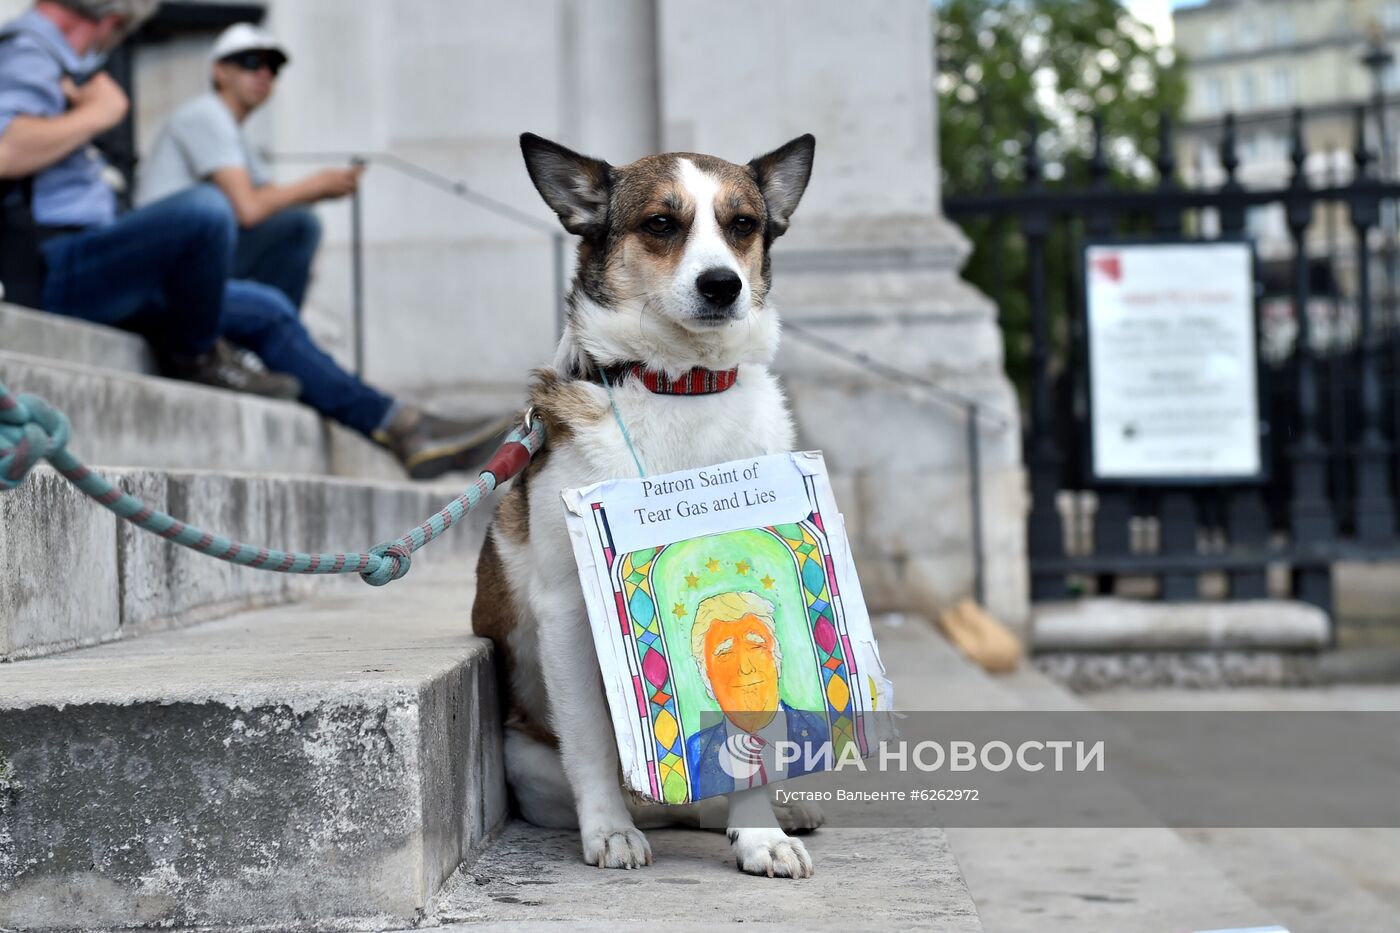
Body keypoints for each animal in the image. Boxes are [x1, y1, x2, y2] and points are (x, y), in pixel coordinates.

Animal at [470, 128, 817, 874]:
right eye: (661, 223)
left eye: (742, 224)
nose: (722, 283)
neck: (680, 386)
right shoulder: (570, 610)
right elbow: (593, 743)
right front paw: (609, 831)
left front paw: (761, 832)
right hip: (527, 761)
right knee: (656, 802)